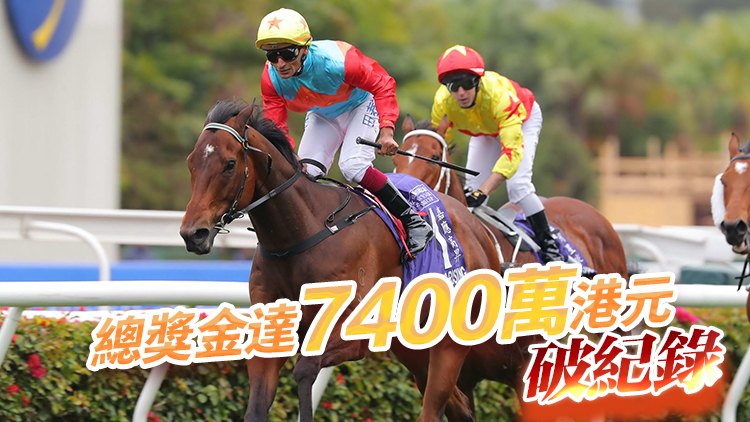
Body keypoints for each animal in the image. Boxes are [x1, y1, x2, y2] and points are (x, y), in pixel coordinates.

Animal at [180, 99, 516, 422]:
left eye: (229, 164)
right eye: (191, 162)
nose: (193, 233)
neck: (299, 234)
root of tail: (476, 227)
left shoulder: (353, 333)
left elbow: (305, 371)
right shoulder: (275, 329)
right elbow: (256, 408)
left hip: (451, 340)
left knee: (434, 408)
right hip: (411, 346)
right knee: (458, 407)